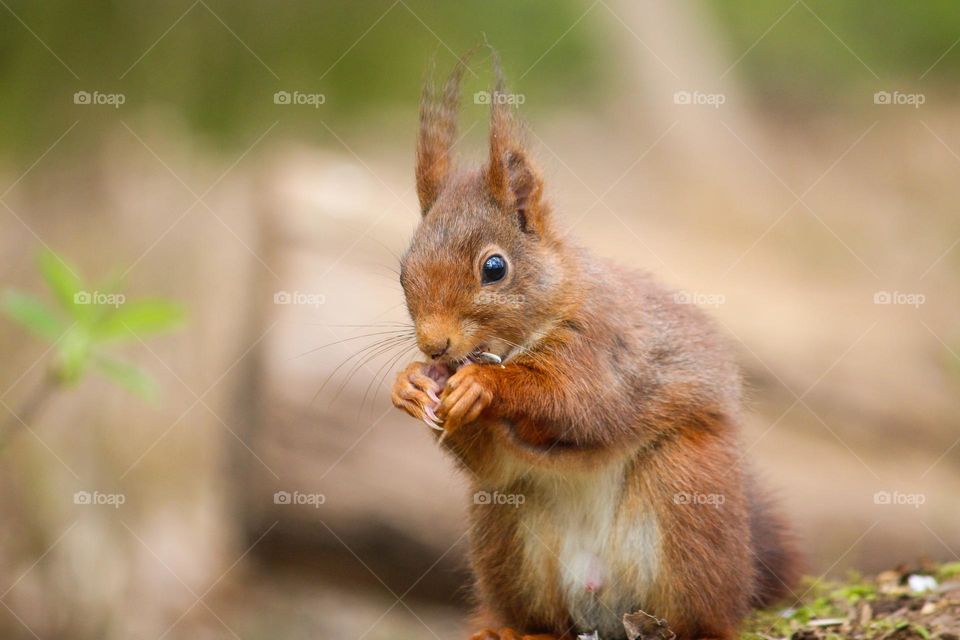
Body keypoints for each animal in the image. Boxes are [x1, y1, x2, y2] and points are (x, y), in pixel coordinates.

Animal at [386, 52, 800, 640]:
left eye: (495, 268)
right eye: (402, 272)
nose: (435, 345)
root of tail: (602, 598)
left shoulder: (604, 349)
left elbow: (579, 403)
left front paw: (485, 385)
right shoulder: (496, 469)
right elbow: (489, 461)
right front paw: (410, 384)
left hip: (689, 493)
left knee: (708, 612)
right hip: (505, 529)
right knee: (540, 615)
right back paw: (510, 628)